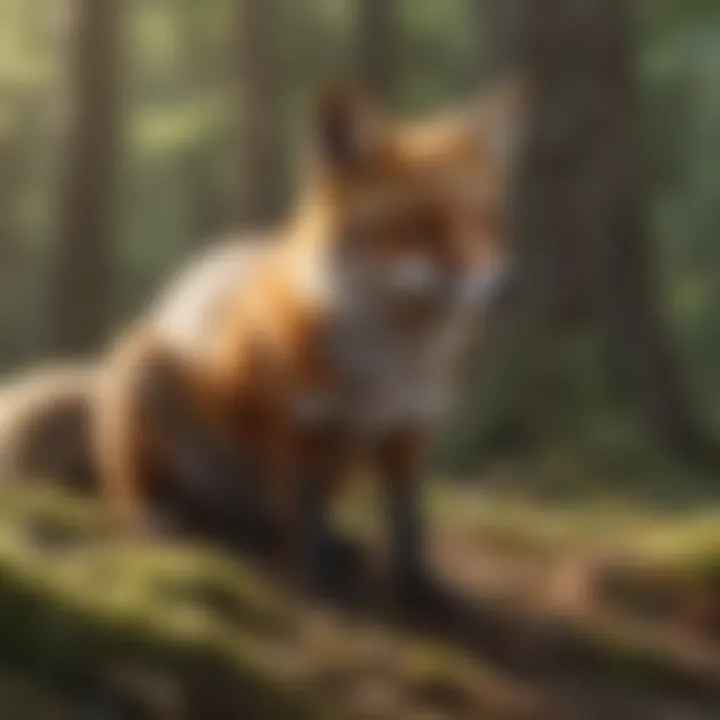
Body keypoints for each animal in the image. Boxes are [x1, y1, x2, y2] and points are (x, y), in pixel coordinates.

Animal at [93, 79, 524, 598]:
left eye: (490, 223)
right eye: (423, 225)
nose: (507, 284)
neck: (387, 368)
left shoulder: (408, 429)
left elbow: (407, 520)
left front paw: (417, 588)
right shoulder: (293, 423)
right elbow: (305, 508)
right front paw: (321, 580)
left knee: (262, 520)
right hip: (144, 371)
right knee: (145, 495)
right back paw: (163, 517)